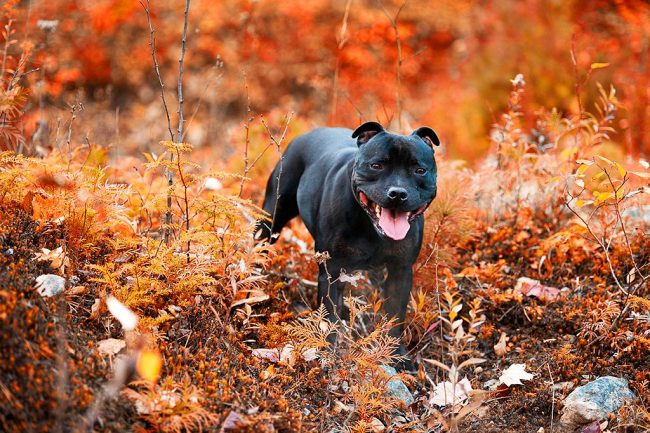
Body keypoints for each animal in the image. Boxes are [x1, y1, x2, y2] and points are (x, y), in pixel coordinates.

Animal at [256, 120, 438, 358]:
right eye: (376, 165)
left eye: (420, 170)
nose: (398, 193)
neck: (372, 228)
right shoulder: (331, 271)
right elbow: (329, 316)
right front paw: (329, 353)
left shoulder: (401, 271)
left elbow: (395, 318)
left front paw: (396, 355)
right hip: (273, 214)